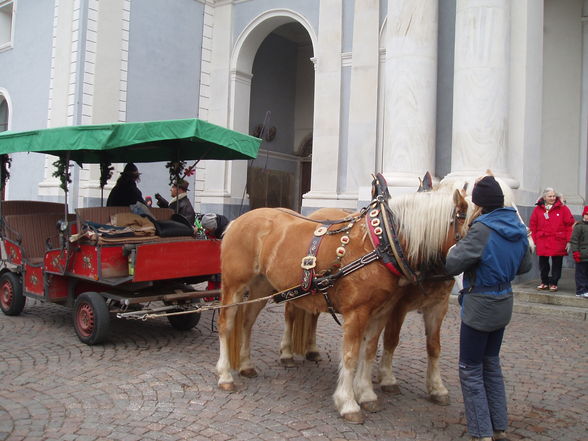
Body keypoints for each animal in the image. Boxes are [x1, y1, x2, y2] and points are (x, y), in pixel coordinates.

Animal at [216, 187, 468, 422]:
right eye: (473, 222)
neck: (381, 243)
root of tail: (239, 220)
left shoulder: (382, 312)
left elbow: (369, 351)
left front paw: (366, 394)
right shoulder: (357, 313)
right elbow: (350, 355)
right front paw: (348, 403)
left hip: (263, 286)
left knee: (247, 323)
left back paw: (246, 365)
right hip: (234, 286)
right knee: (226, 325)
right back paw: (225, 375)